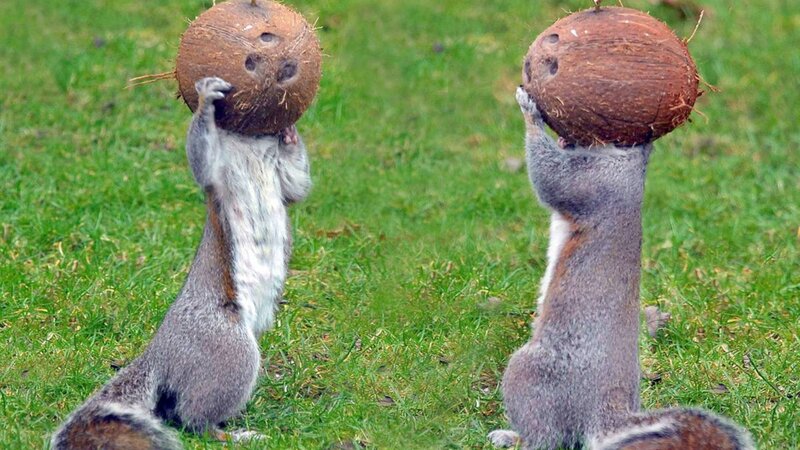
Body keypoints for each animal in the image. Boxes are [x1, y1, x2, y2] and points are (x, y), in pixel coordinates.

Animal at [51, 76, 312, 449]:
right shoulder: (216, 172)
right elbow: (202, 161)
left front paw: (290, 133)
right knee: (194, 419)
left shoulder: (280, 176)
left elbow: (296, 184)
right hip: (227, 348)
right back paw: (236, 433)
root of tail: (160, 354)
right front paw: (206, 100)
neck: (247, 145)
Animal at [487, 87, 754, 450]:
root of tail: (604, 410)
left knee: (547, 438)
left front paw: (529, 111)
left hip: (529, 373)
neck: (630, 159)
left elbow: (550, 179)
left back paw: (510, 436)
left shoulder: (594, 181)